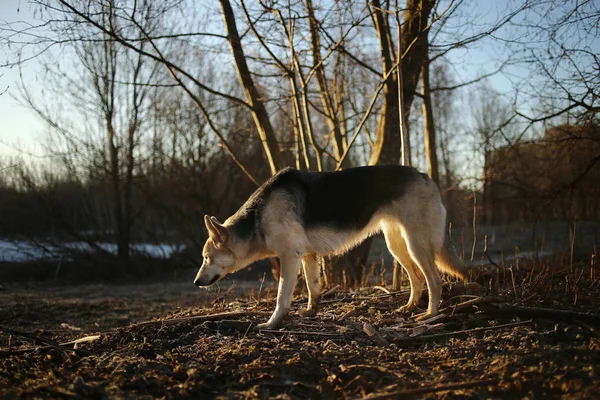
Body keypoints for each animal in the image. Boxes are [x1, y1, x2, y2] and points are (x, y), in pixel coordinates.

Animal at [195, 165, 466, 328]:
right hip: (397, 246)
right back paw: (409, 307)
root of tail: (425, 176)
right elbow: (313, 288)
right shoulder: (307, 256)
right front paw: (311, 311)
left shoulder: (290, 258)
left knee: (434, 281)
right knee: (417, 278)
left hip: (415, 245)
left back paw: (430, 315)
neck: (258, 217)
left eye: (207, 258)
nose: (196, 282)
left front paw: (273, 323)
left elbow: (282, 297)